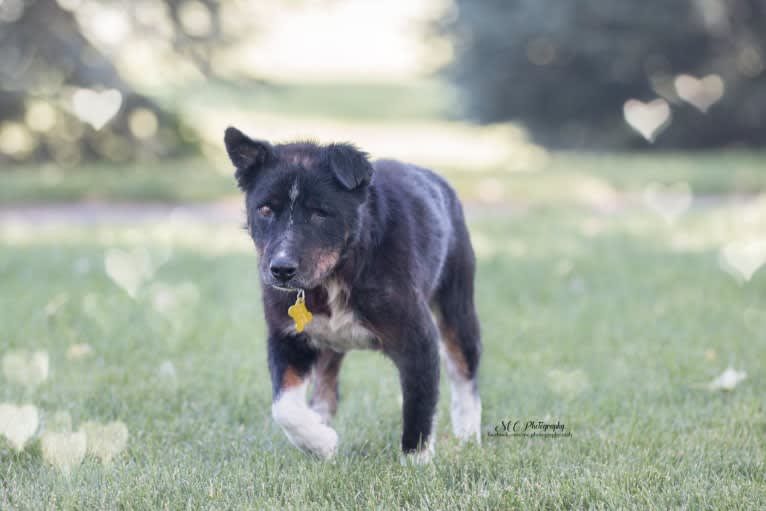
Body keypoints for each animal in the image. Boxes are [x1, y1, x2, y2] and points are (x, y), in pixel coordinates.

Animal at [225, 128, 484, 464]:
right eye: (265, 210)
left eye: (320, 213)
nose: (280, 270)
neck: (335, 275)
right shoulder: (287, 337)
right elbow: (284, 408)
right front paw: (321, 442)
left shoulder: (418, 338)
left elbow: (419, 402)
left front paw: (416, 461)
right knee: (326, 389)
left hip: (457, 306)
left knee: (465, 372)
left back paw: (468, 436)